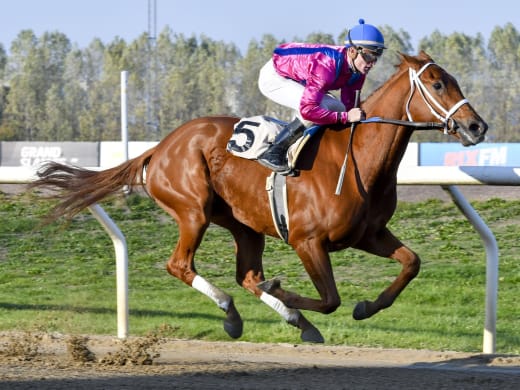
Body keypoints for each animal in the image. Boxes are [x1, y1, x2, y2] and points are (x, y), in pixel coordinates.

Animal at [30, 51, 488, 342]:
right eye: (437, 83)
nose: (476, 127)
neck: (358, 156)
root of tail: (159, 148)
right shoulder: (308, 241)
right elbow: (330, 299)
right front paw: (288, 291)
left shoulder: (367, 235)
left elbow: (411, 263)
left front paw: (366, 307)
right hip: (193, 210)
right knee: (181, 265)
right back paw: (235, 313)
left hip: (244, 224)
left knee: (247, 275)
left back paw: (286, 319)